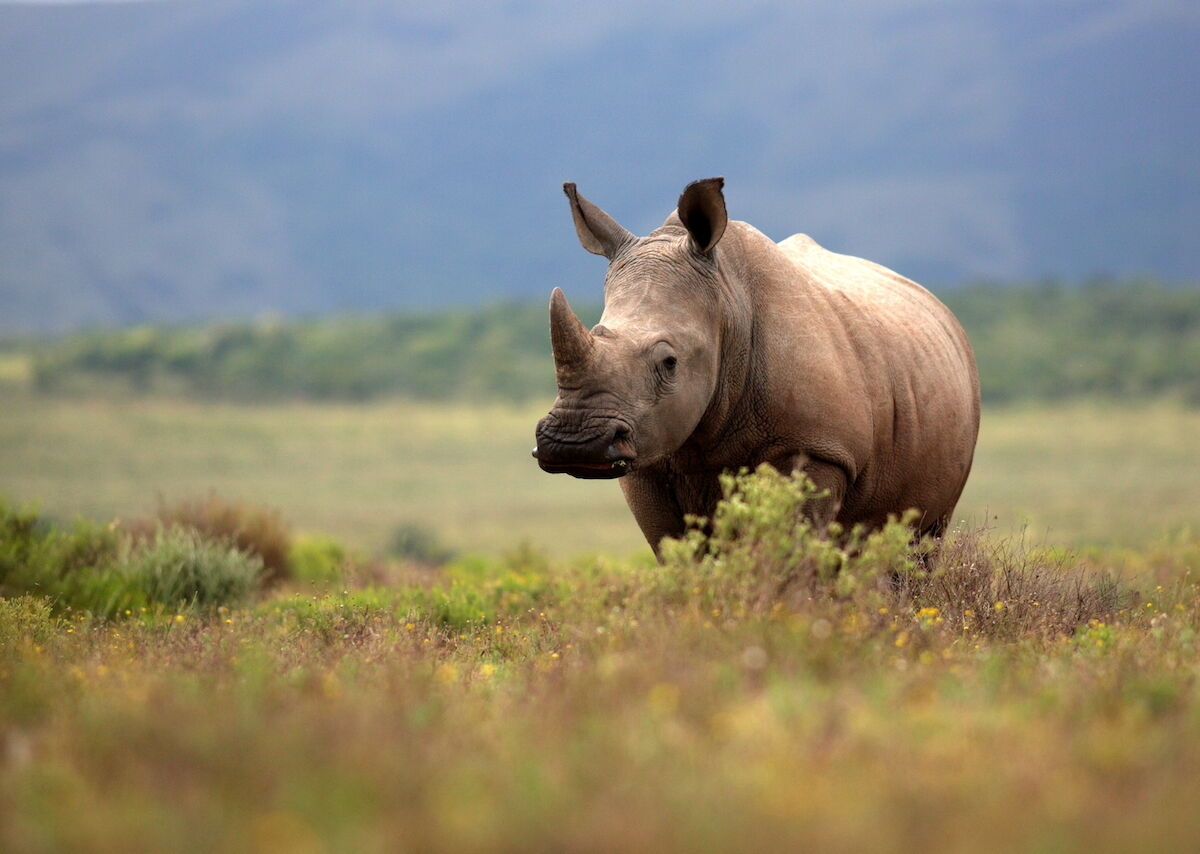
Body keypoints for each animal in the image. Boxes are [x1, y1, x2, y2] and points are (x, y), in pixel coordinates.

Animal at [533, 178, 981, 555]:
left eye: (670, 362)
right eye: (597, 332)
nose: (575, 443)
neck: (728, 303)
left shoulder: (817, 449)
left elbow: (791, 553)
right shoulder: (648, 458)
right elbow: (680, 553)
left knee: (918, 544)